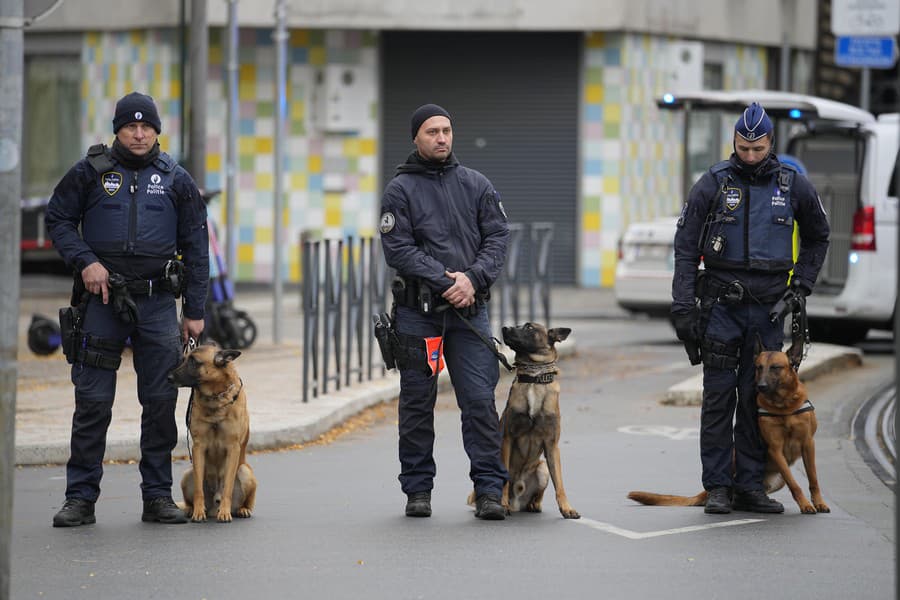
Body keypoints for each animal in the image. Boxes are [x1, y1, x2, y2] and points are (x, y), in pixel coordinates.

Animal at [169, 344, 256, 524]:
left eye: (194, 361)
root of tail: (213, 508)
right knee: (192, 495)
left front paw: (225, 512)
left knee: (246, 501)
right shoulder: (198, 448)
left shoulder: (233, 448)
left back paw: (241, 510)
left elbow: (227, 486)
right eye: (184, 359)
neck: (215, 399)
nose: (168, 377)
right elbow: (198, 490)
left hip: (245, 471)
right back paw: (192, 509)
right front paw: (198, 512)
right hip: (188, 473)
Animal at [496, 322, 580, 516]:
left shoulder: (551, 444)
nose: (505, 328)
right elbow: (504, 479)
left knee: (538, 494)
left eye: (529, 327)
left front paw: (566, 507)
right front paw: (502, 505)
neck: (534, 378)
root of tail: (517, 501)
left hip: (542, 469)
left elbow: (560, 484)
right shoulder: (507, 438)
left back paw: (534, 504)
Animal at [624, 340, 828, 512]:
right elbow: (795, 483)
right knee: (735, 495)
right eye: (759, 367)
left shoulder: (808, 444)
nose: (760, 386)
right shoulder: (775, 449)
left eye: (776, 368)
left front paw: (818, 503)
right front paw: (805, 504)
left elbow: (813, 479)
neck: (783, 406)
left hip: (777, 481)